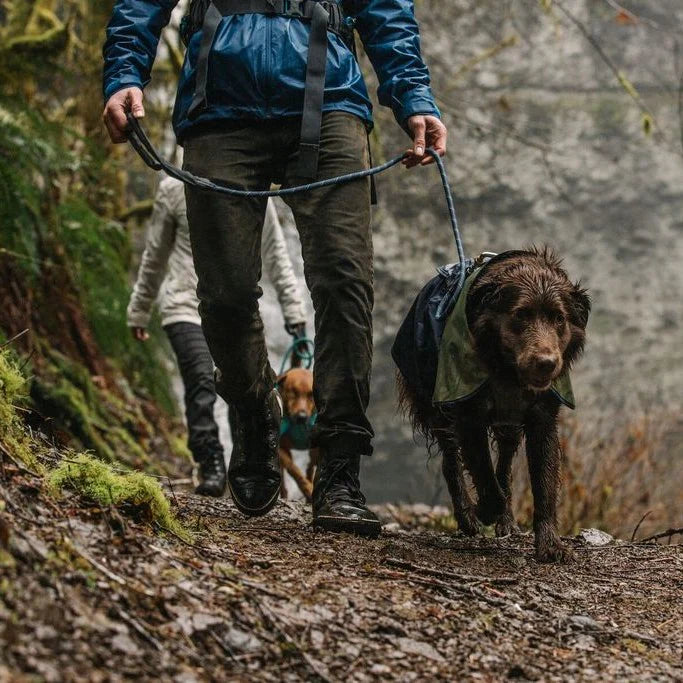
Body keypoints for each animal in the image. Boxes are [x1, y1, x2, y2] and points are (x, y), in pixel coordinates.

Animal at [276, 368, 320, 502]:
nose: (302, 417)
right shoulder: (281, 449)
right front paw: (307, 489)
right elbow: (293, 470)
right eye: (293, 392)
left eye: (311, 394)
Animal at [398, 248, 592, 564]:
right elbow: (484, 476)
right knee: (451, 460)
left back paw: (507, 520)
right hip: (435, 404)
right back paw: (467, 516)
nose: (546, 363)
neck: (507, 371)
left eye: (559, 319)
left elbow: (544, 484)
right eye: (520, 314)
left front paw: (550, 544)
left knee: (505, 465)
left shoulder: (543, 419)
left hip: (508, 426)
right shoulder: (468, 415)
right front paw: (484, 510)